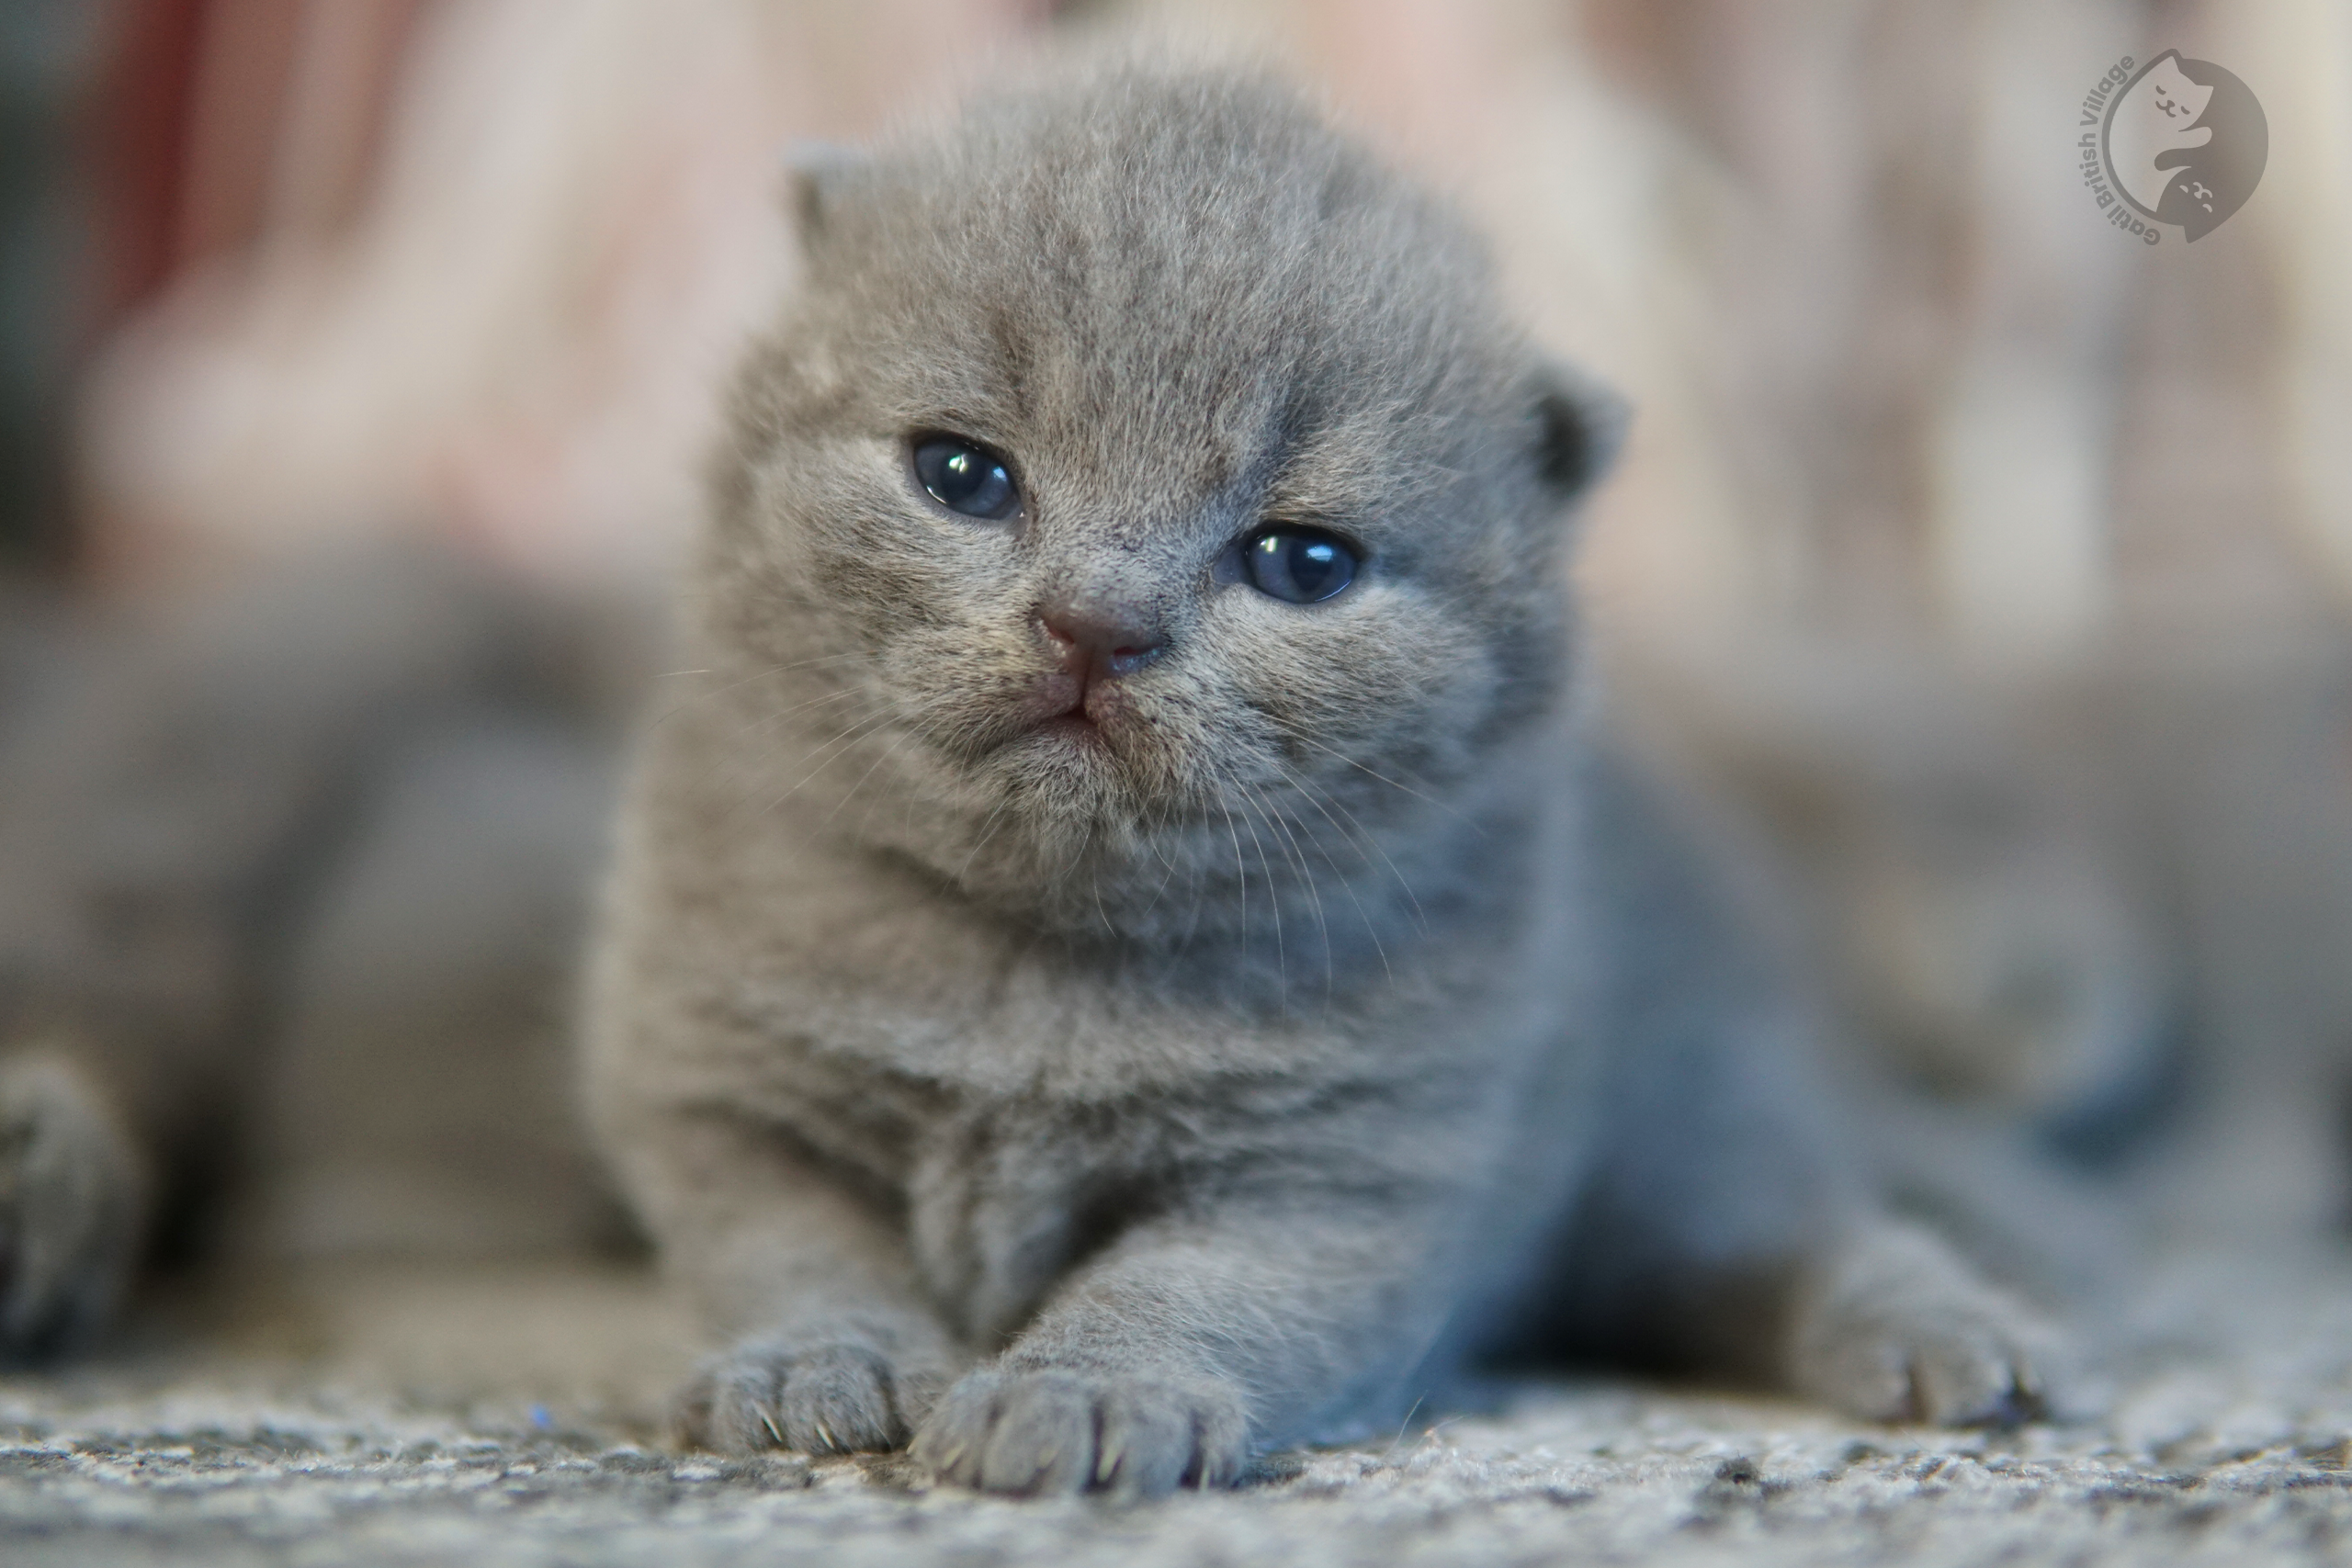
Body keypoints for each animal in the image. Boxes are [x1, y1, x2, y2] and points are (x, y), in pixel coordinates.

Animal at [578, 61, 2051, 1504]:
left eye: (1302, 562)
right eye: (961, 473)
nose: (1096, 622)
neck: (1033, 962)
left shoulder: (1336, 1170)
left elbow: (1188, 1291)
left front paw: (1083, 1395)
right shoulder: (720, 1085)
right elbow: (785, 1246)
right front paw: (814, 1368)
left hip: (1686, 1129)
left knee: (1792, 1228)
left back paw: (1952, 1337)